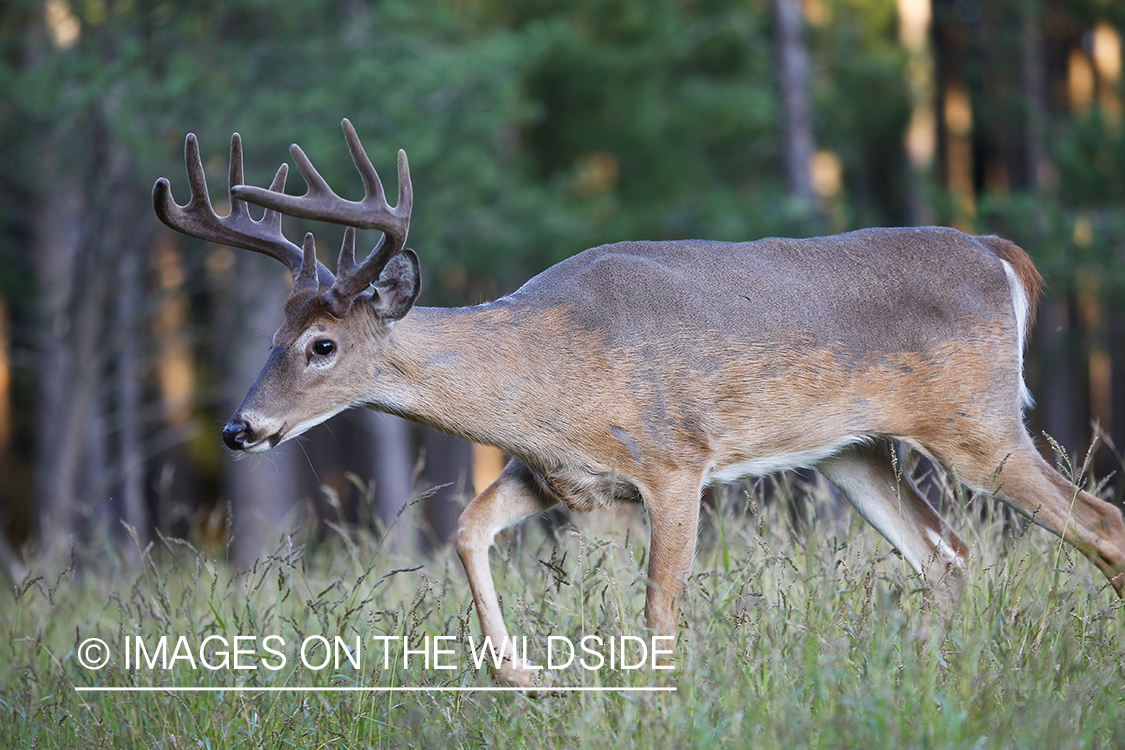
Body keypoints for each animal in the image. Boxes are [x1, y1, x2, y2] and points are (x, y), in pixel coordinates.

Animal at [154, 120, 1125, 688]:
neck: (547, 377)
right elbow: (466, 532)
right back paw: (920, 676)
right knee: (946, 554)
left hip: (977, 420)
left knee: (1096, 521)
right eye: (272, 335)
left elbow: (659, 604)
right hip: (853, 450)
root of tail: (998, 253)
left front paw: (655, 703)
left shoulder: (673, 459)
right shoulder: (559, 476)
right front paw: (526, 679)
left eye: (322, 345)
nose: (240, 428)